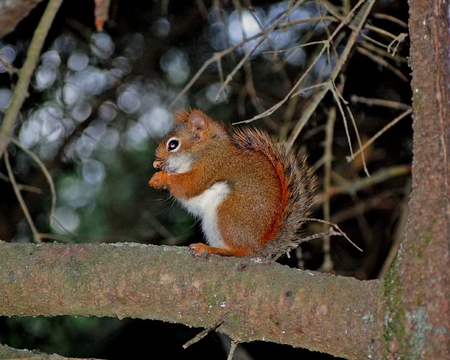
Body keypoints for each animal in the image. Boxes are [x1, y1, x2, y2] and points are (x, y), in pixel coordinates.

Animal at [149, 108, 316, 258]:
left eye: (173, 144)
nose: (155, 164)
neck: (204, 149)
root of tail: (258, 244)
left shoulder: (210, 166)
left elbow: (189, 185)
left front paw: (161, 177)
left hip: (227, 212)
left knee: (242, 251)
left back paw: (209, 249)